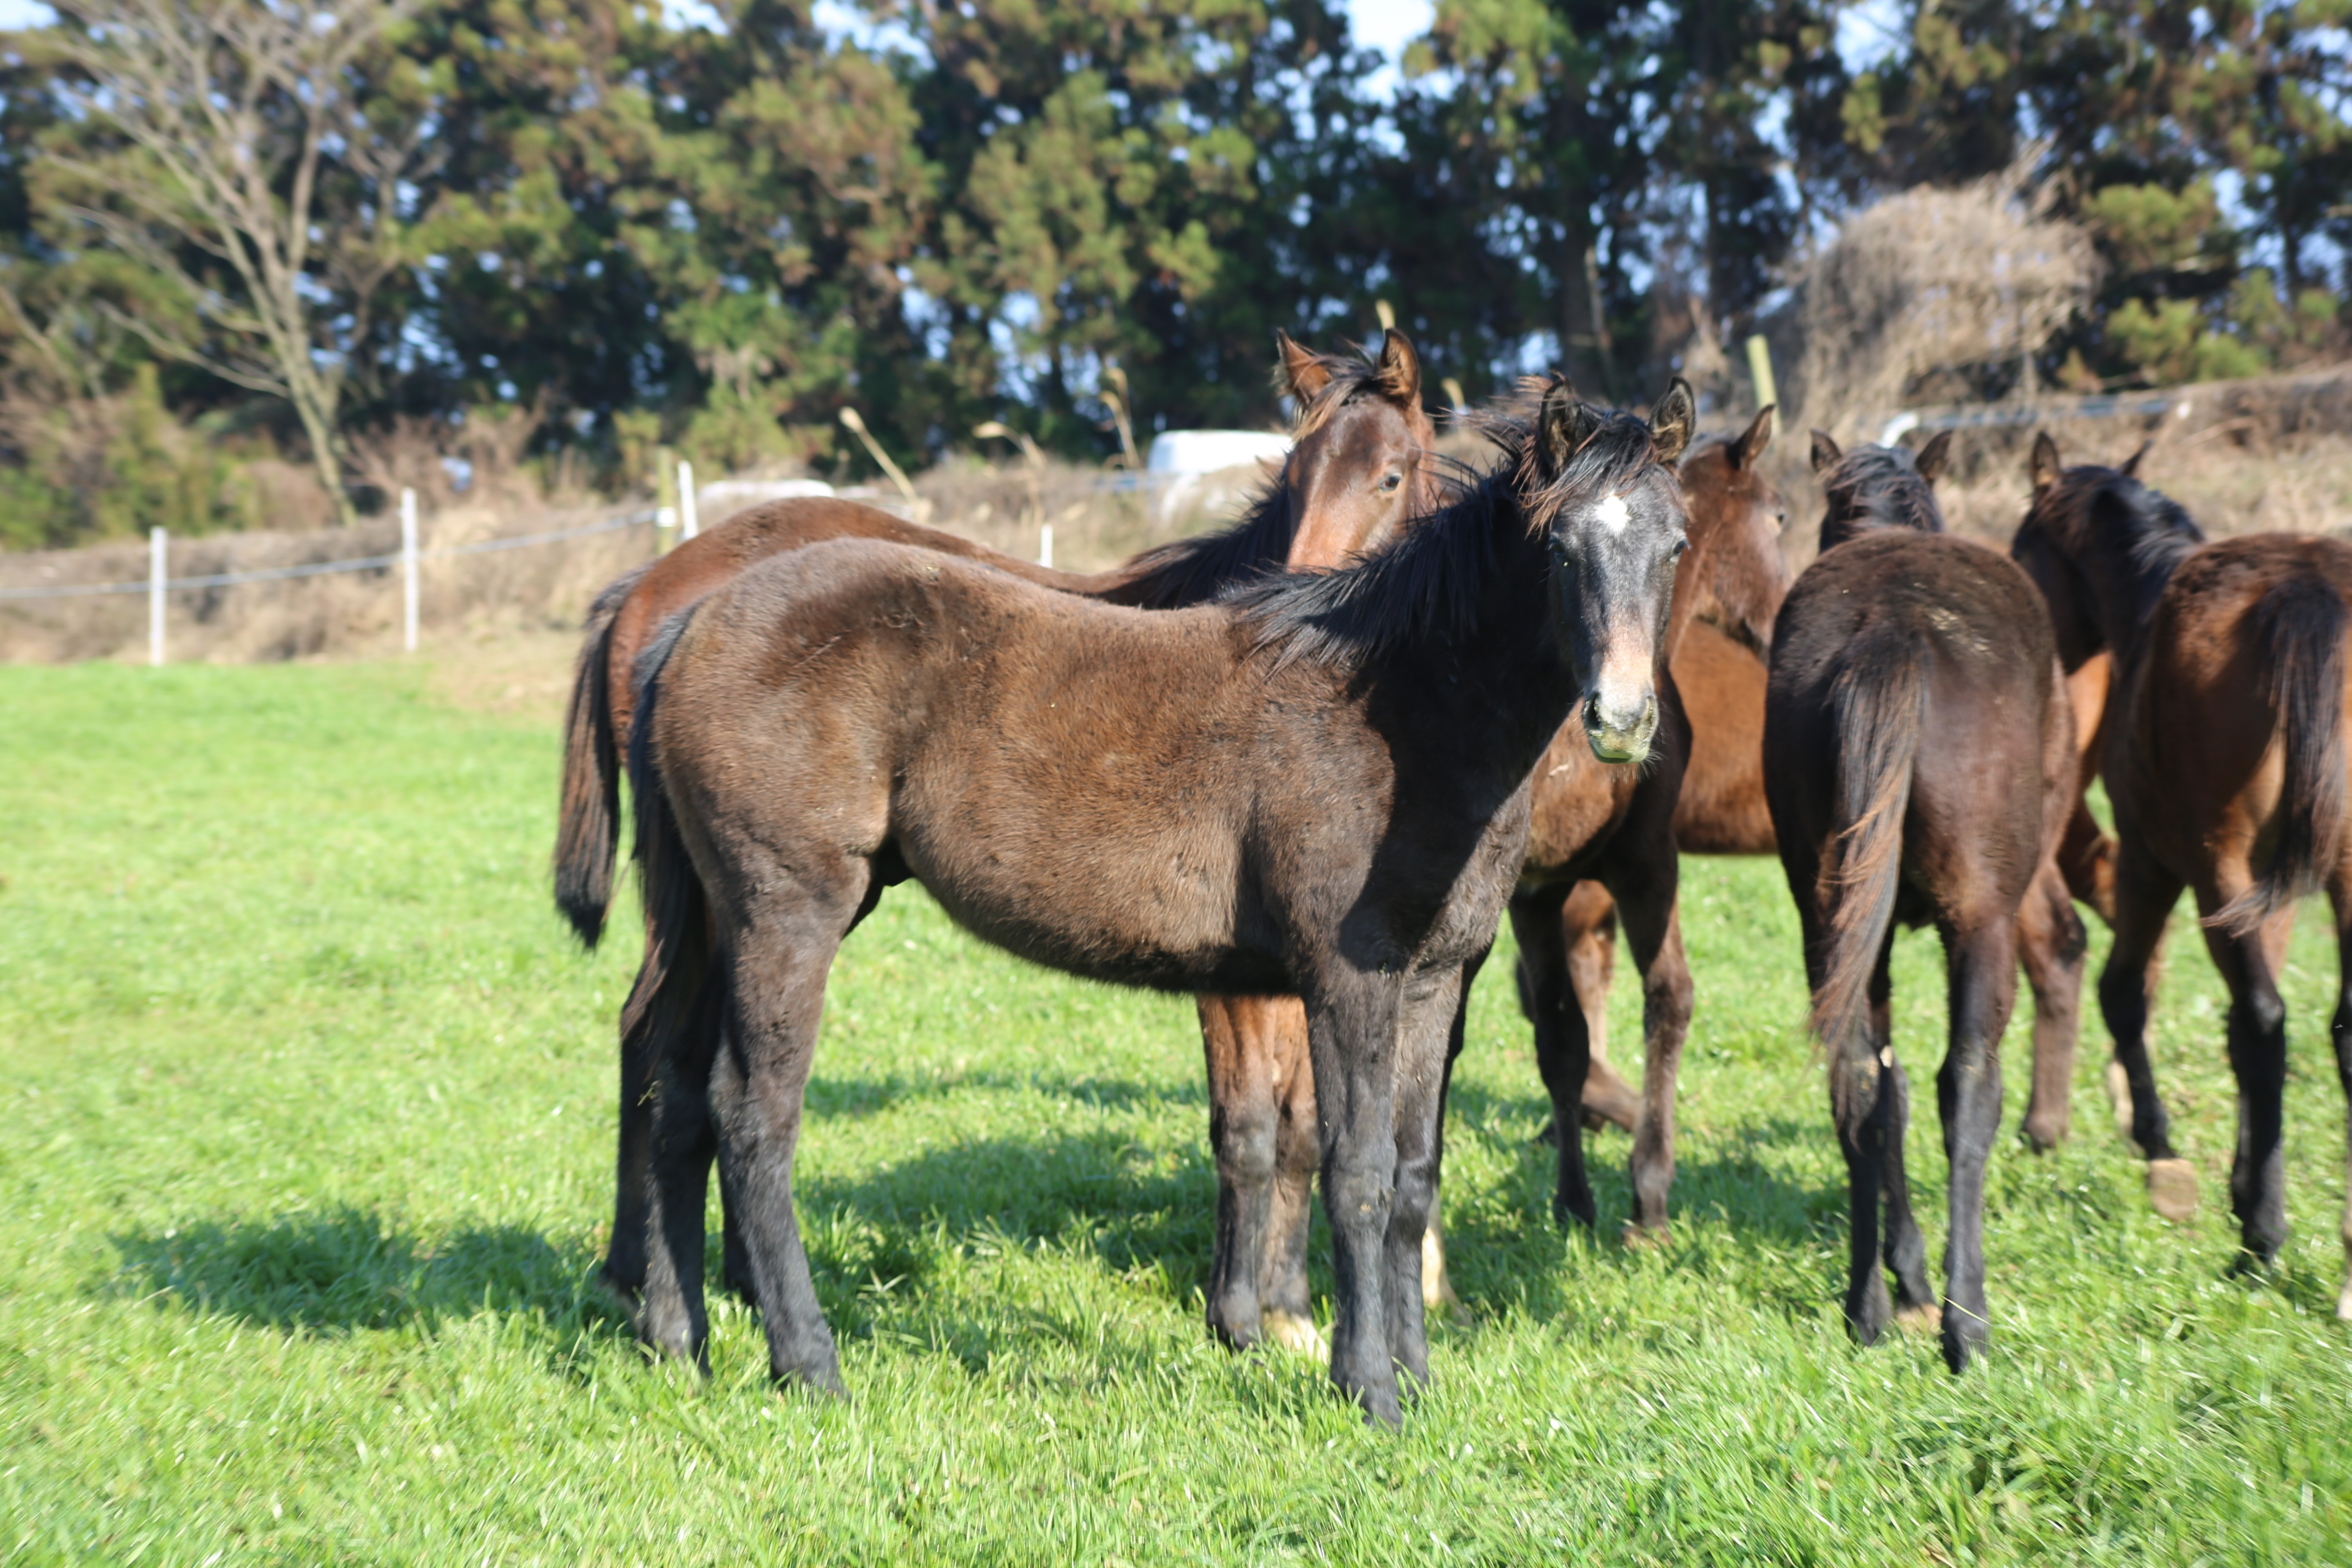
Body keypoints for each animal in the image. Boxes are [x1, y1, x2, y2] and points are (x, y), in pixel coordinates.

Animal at [626, 381, 1693, 1420]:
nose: (1622, 720)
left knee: (673, 1097)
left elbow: (1413, 1180)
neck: (1398, 706)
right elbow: (1355, 1172)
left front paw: (1420, 1383)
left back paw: (680, 1343)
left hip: (725, 924)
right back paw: (809, 1367)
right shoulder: (1347, 978)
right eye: (1559, 546)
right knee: (752, 1117)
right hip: (788, 915)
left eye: (1676, 543)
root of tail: (689, 623)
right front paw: (1367, 1389)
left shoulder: (1432, 980)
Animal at [1769, 432, 2079, 1373]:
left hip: (1831, 920)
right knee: (1967, 1085)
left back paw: (1868, 1303)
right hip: (1981, 924)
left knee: (1862, 1085)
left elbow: (1884, 1093)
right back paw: (1965, 1320)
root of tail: (1894, 633)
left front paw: (1900, 1274)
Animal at [2004, 446, 2352, 1307]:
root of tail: (2308, 594)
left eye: (2023, 552)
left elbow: (2126, 995)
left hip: (2212, 865)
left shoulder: (2153, 864)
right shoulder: (2271, 898)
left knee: (2263, 1022)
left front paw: (2161, 1147)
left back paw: (2261, 1241)